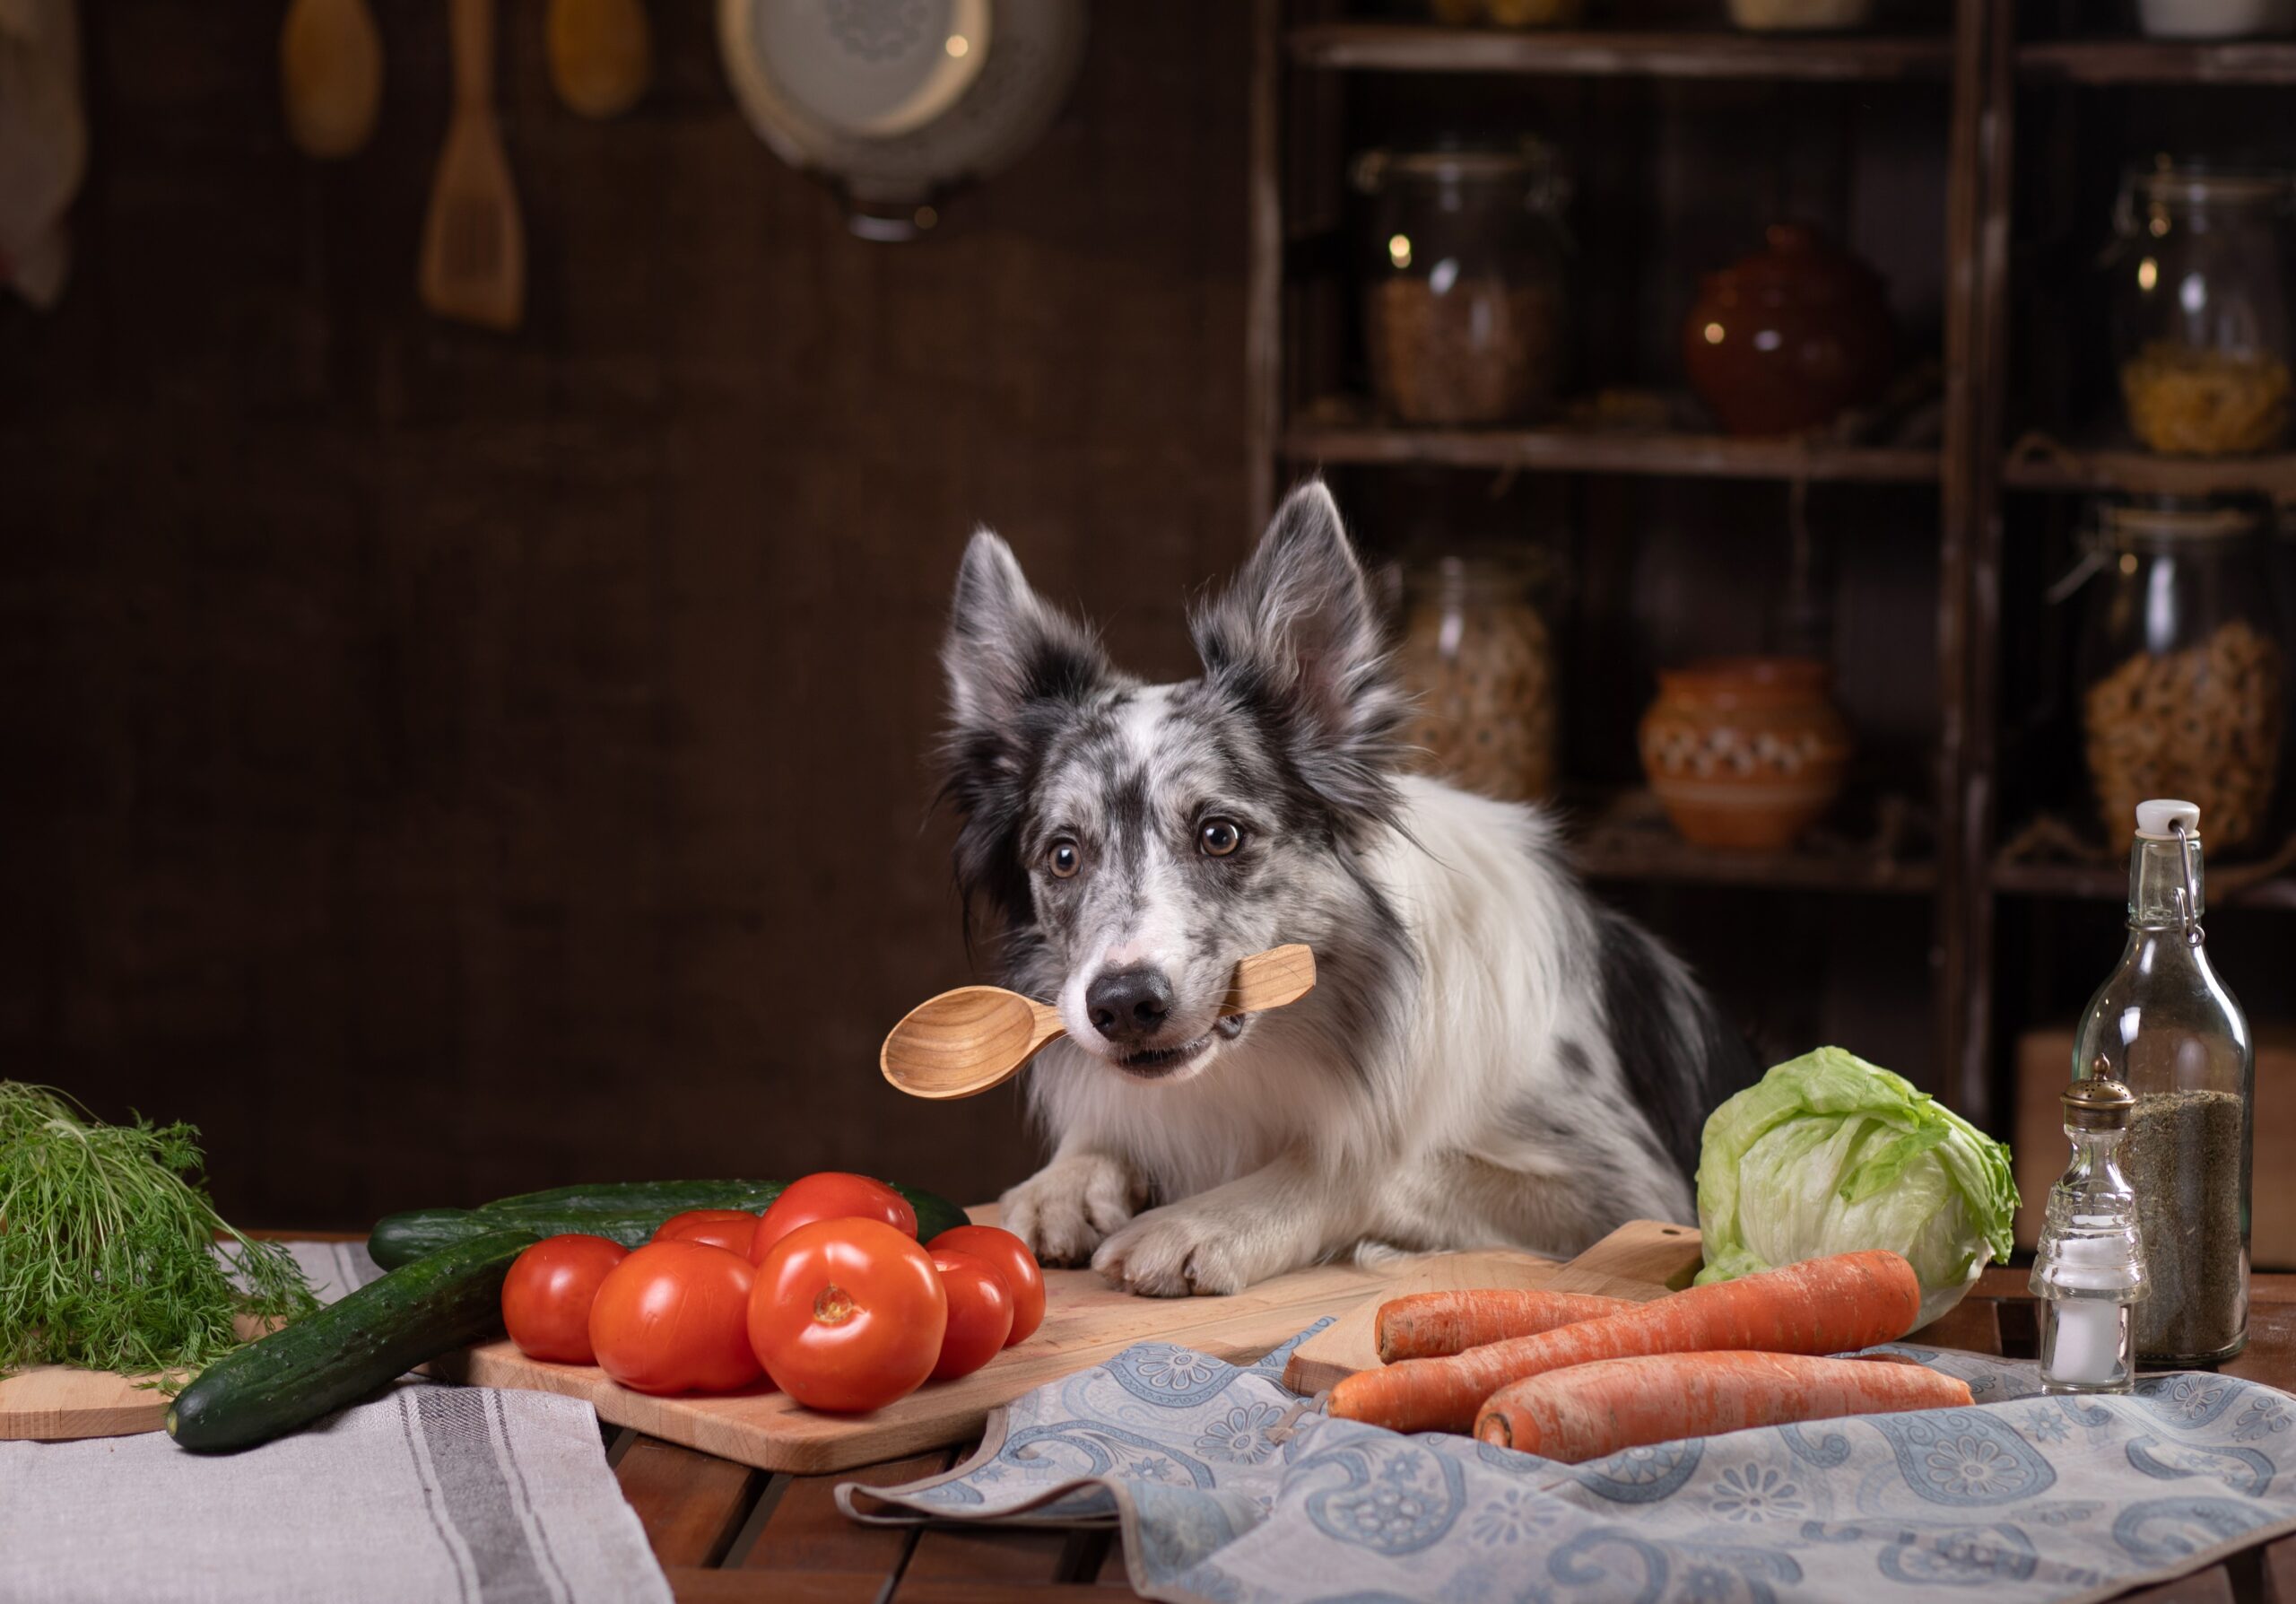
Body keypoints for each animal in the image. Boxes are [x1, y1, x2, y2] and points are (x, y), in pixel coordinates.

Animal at [941, 480, 1744, 1295]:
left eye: (1220, 835)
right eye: (1063, 856)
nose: (1123, 1006)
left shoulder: (1631, 1190)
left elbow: (1367, 1161)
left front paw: (1206, 1223)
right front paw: (1064, 1181)